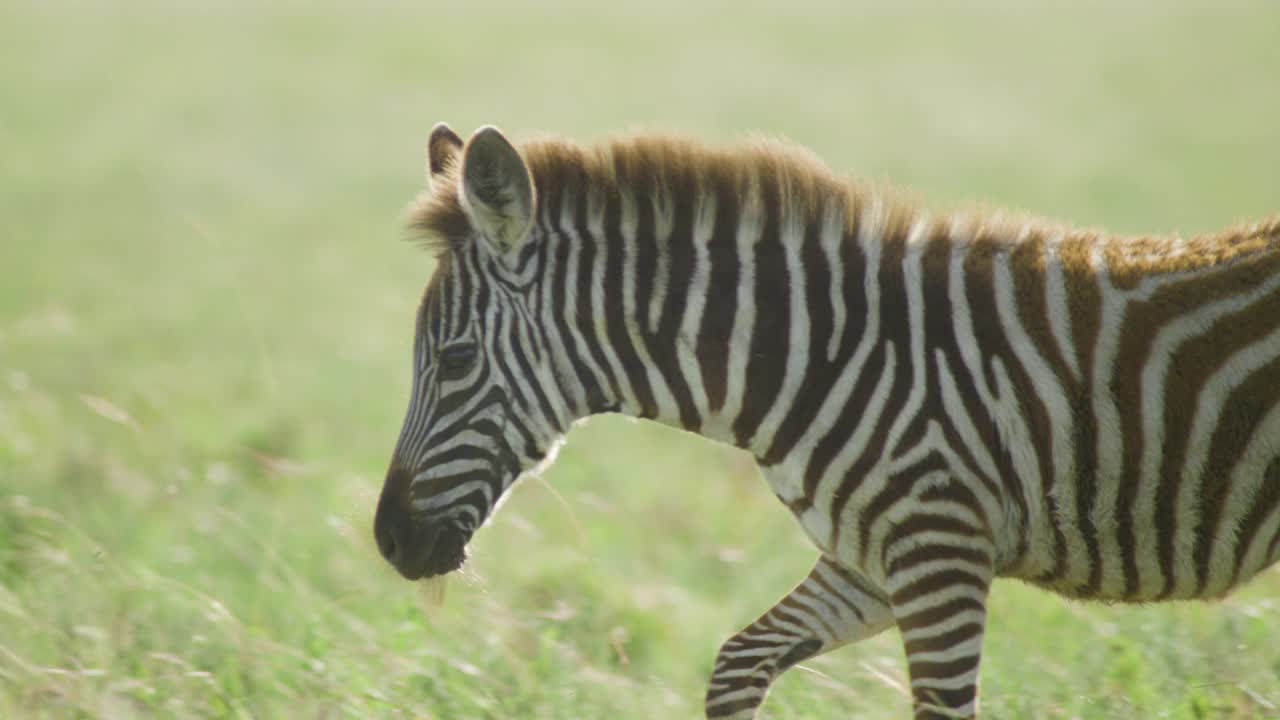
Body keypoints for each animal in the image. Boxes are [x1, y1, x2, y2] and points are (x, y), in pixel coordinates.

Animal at [371, 120, 1280, 712]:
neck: (827, 356)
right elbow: (736, 664)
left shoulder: (940, 555)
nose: (388, 541)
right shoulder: (871, 561)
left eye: (456, 362)